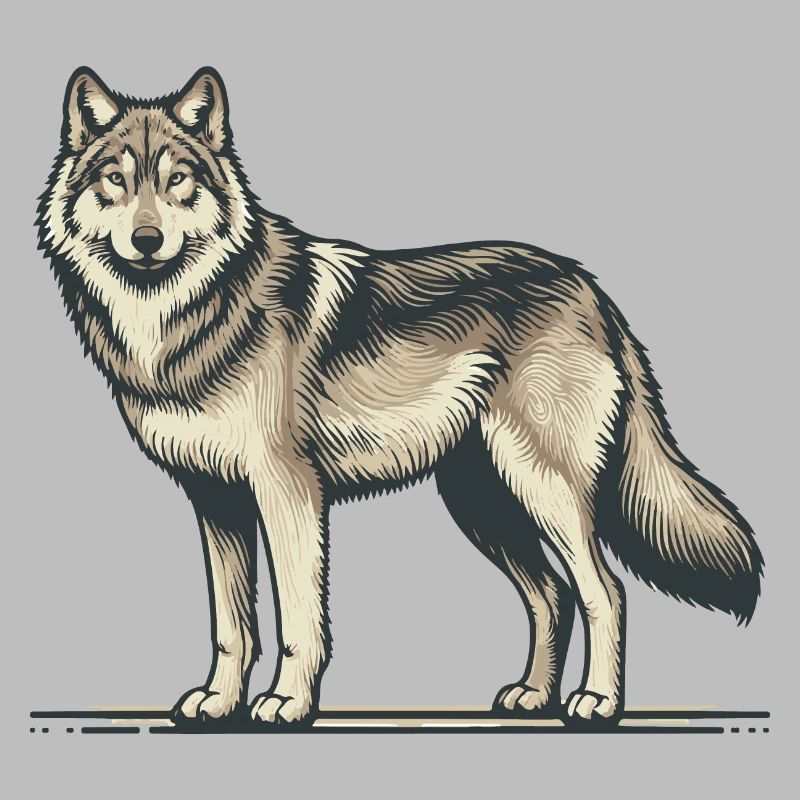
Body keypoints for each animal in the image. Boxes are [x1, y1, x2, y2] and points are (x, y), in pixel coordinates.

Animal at [37, 67, 762, 727]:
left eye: (177, 179)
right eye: (116, 180)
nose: (147, 240)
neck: (184, 314)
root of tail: (589, 285)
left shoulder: (287, 492)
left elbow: (298, 619)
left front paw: (288, 704)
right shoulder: (215, 500)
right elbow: (232, 625)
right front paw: (218, 703)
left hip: (542, 488)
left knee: (604, 592)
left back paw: (598, 703)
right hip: (483, 503)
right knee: (552, 595)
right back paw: (532, 697)